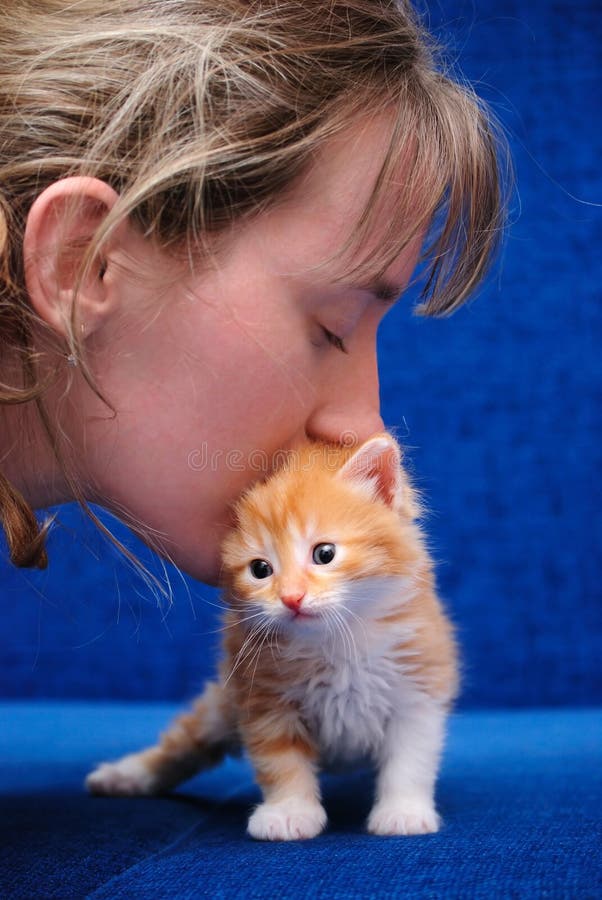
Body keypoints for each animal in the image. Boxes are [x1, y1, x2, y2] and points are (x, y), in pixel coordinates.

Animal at [86, 432, 458, 840]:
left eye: (324, 554)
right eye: (260, 569)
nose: (291, 598)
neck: (336, 640)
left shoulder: (417, 686)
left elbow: (410, 759)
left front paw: (402, 811)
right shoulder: (263, 698)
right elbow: (281, 760)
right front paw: (289, 812)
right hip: (222, 705)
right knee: (183, 744)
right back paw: (125, 775)